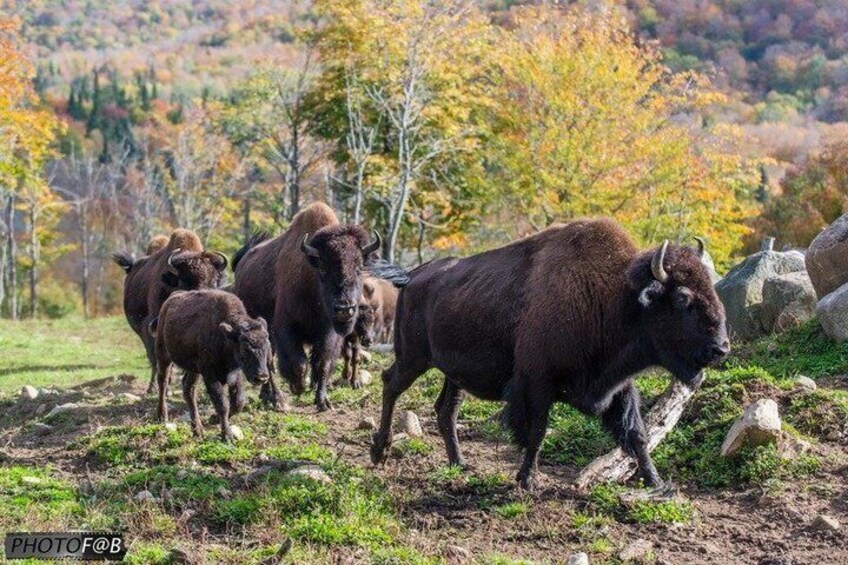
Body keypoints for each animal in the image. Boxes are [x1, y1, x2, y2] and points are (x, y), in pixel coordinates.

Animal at [152, 289, 271, 441]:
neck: (226, 337)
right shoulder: (210, 376)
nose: (261, 377)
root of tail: (170, 300)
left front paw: (213, 419)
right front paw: (227, 436)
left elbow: (238, 402)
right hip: (163, 355)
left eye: (267, 345)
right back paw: (162, 416)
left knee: (188, 390)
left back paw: (197, 430)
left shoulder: (235, 374)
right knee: (163, 382)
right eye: (244, 348)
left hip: (193, 369)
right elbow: (223, 405)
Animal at [232, 202, 382, 411]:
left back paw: (267, 395)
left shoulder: (329, 334)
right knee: (268, 362)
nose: (345, 308)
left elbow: (322, 364)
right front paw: (298, 387)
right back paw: (277, 399)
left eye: (359, 268)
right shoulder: (285, 328)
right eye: (323, 269)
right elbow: (298, 363)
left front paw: (323, 401)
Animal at [370, 218, 729, 490]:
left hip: (452, 373)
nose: (721, 348)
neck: (614, 298)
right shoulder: (536, 385)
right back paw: (379, 452)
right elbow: (536, 432)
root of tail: (414, 276)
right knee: (391, 384)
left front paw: (656, 481)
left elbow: (636, 433)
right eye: (683, 298)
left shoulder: (618, 386)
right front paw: (528, 480)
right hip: (412, 358)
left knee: (446, 411)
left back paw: (459, 463)